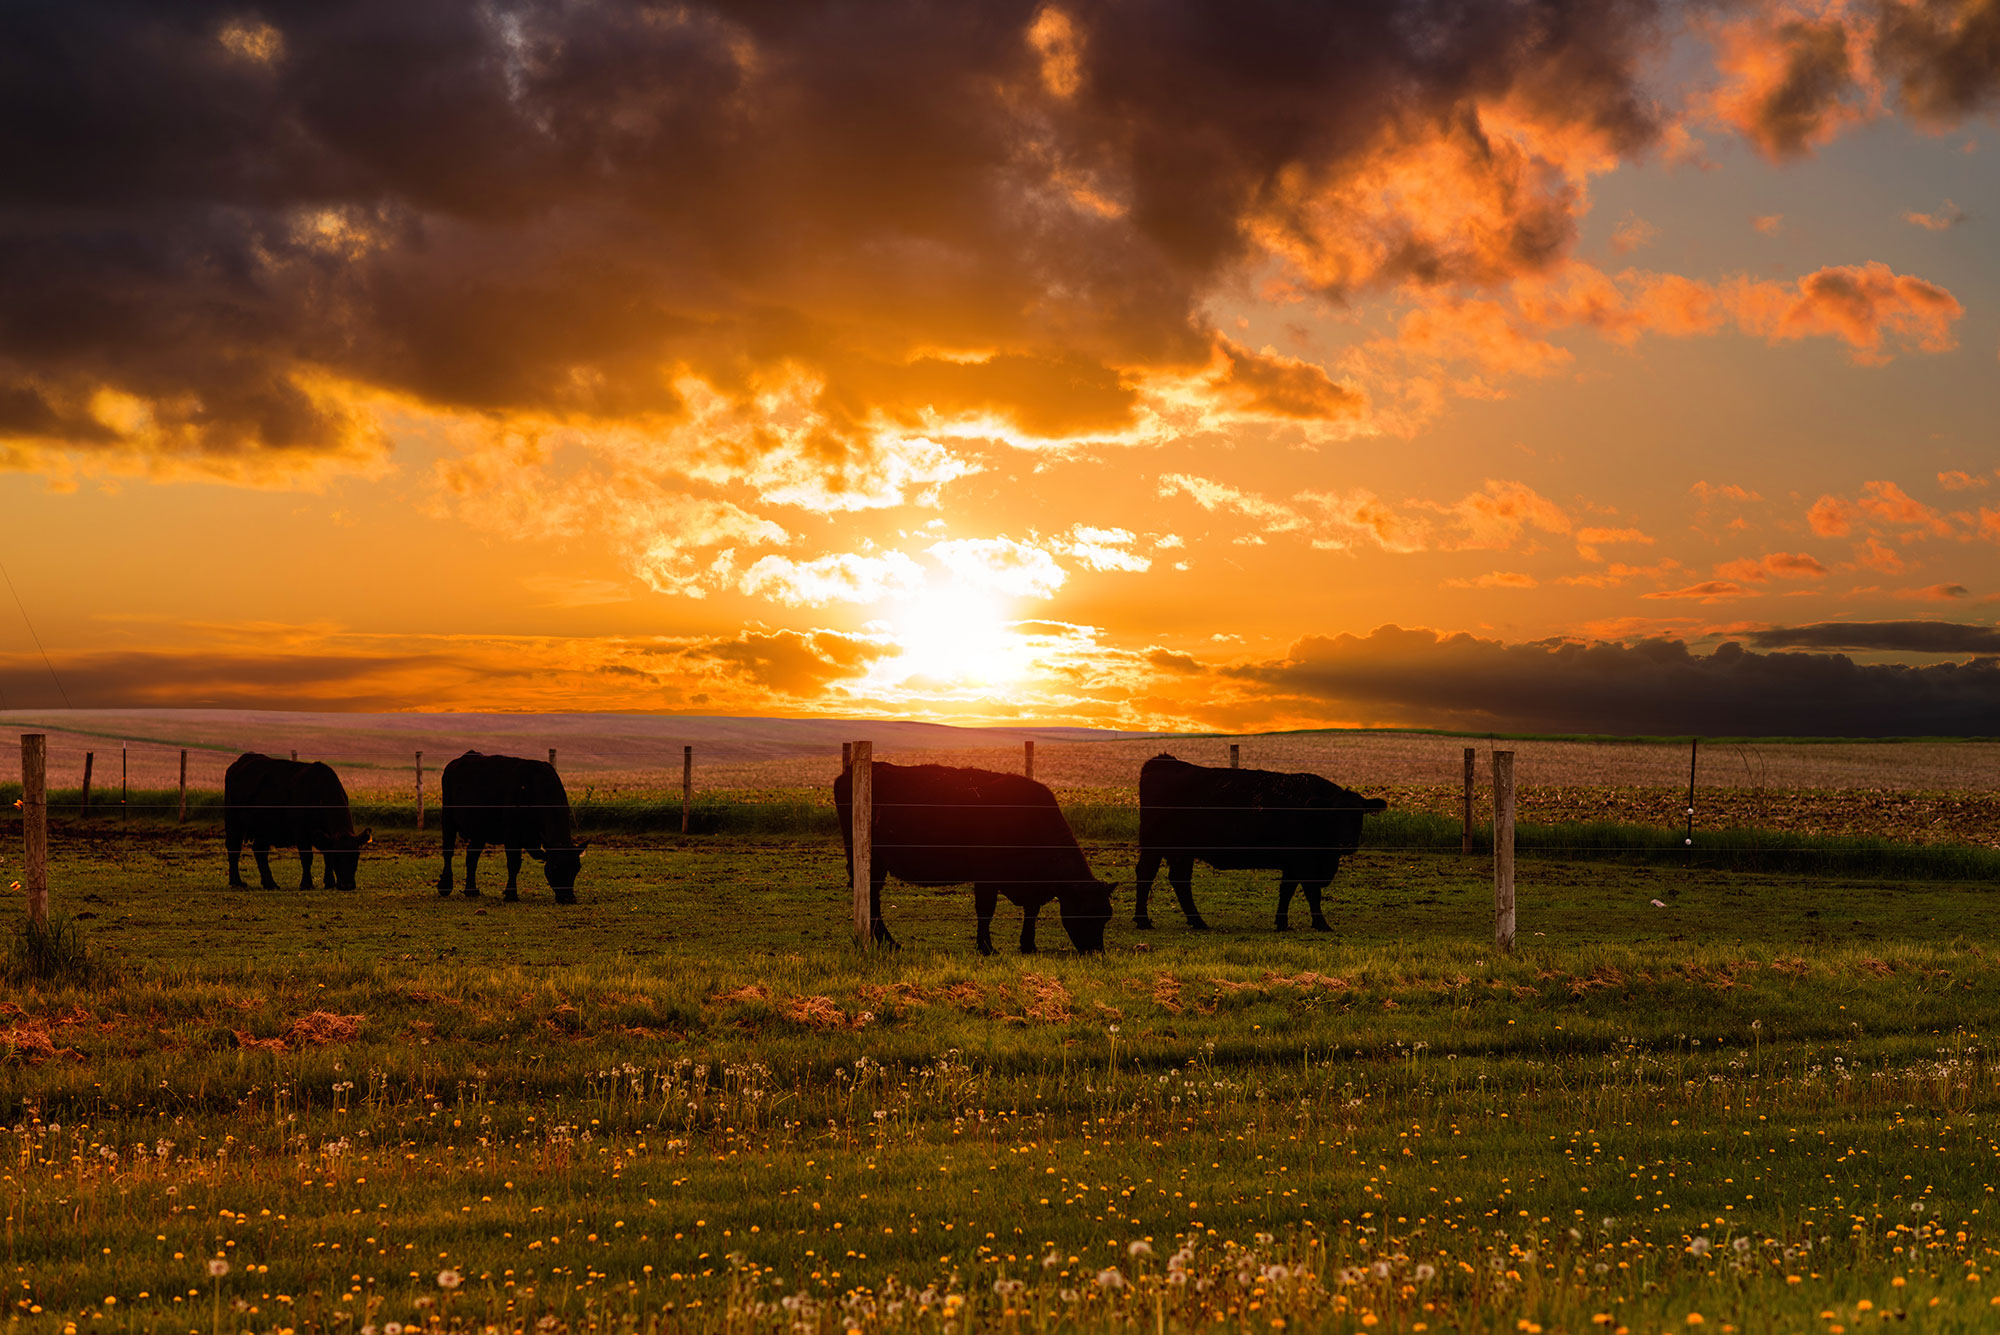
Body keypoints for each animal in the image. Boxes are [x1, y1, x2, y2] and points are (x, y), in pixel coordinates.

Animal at [223, 755, 372, 891]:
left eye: (356, 856)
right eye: (338, 857)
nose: (347, 885)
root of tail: (241, 761)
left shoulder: (324, 836)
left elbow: (326, 855)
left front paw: (329, 883)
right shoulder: (301, 832)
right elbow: (307, 857)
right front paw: (306, 884)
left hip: (265, 828)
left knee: (260, 850)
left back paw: (270, 883)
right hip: (233, 822)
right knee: (234, 848)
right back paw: (237, 882)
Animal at [436, 755, 584, 903]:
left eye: (576, 868)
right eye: (554, 867)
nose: (568, 898)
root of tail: (458, 761)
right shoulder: (511, 835)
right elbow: (514, 863)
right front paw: (511, 894)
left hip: (480, 831)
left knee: (472, 855)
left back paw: (471, 890)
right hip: (448, 818)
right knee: (448, 851)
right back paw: (445, 886)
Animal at [828, 759, 1112, 947]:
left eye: (1106, 915)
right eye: (1084, 912)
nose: (1095, 951)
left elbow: (1031, 911)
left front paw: (1028, 945)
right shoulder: (987, 877)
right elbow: (986, 910)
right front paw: (986, 947)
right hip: (871, 862)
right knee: (871, 899)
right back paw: (889, 942)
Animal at [1136, 755, 1384, 935]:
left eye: (1359, 815)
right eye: (1334, 816)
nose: (1346, 843)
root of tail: (1163, 761)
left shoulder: (1293, 865)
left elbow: (1287, 891)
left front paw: (1282, 923)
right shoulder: (1303, 862)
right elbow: (1311, 892)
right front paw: (1321, 924)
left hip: (1182, 852)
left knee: (1180, 881)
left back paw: (1197, 922)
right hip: (1154, 847)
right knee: (1146, 875)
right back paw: (1143, 921)